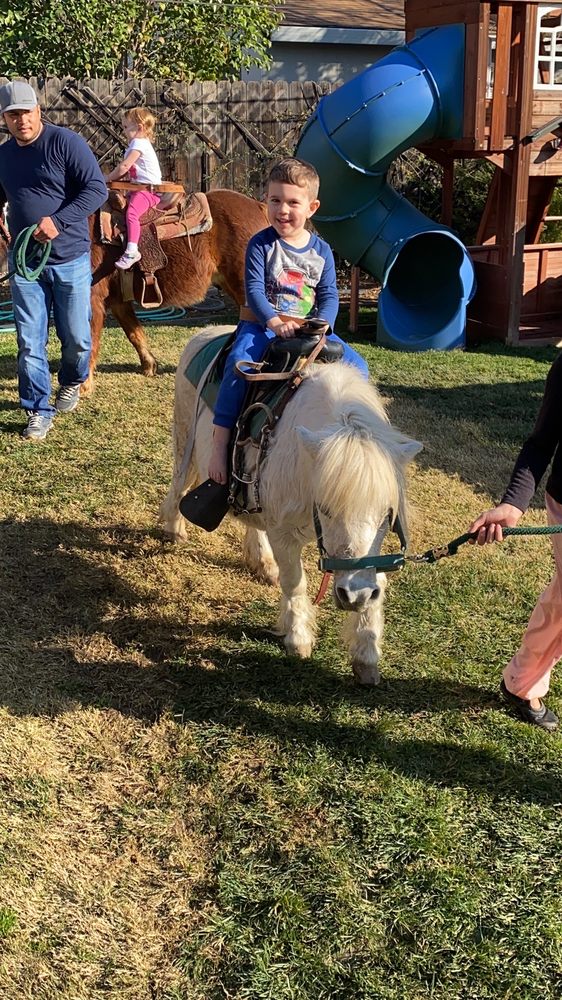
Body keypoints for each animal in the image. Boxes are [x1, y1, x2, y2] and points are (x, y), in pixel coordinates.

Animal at [86, 189, 268, 393]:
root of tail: (258, 206)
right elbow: (134, 333)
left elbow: (90, 341)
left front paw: (84, 387)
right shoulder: (118, 301)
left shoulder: (92, 299)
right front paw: (149, 366)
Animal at [159, 326, 422, 685]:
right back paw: (175, 529)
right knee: (178, 483)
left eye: (387, 514)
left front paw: (366, 654)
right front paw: (297, 639)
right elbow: (295, 582)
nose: (354, 596)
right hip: (185, 438)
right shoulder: (284, 534)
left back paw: (262, 563)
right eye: (325, 508)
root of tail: (206, 333)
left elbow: (377, 582)